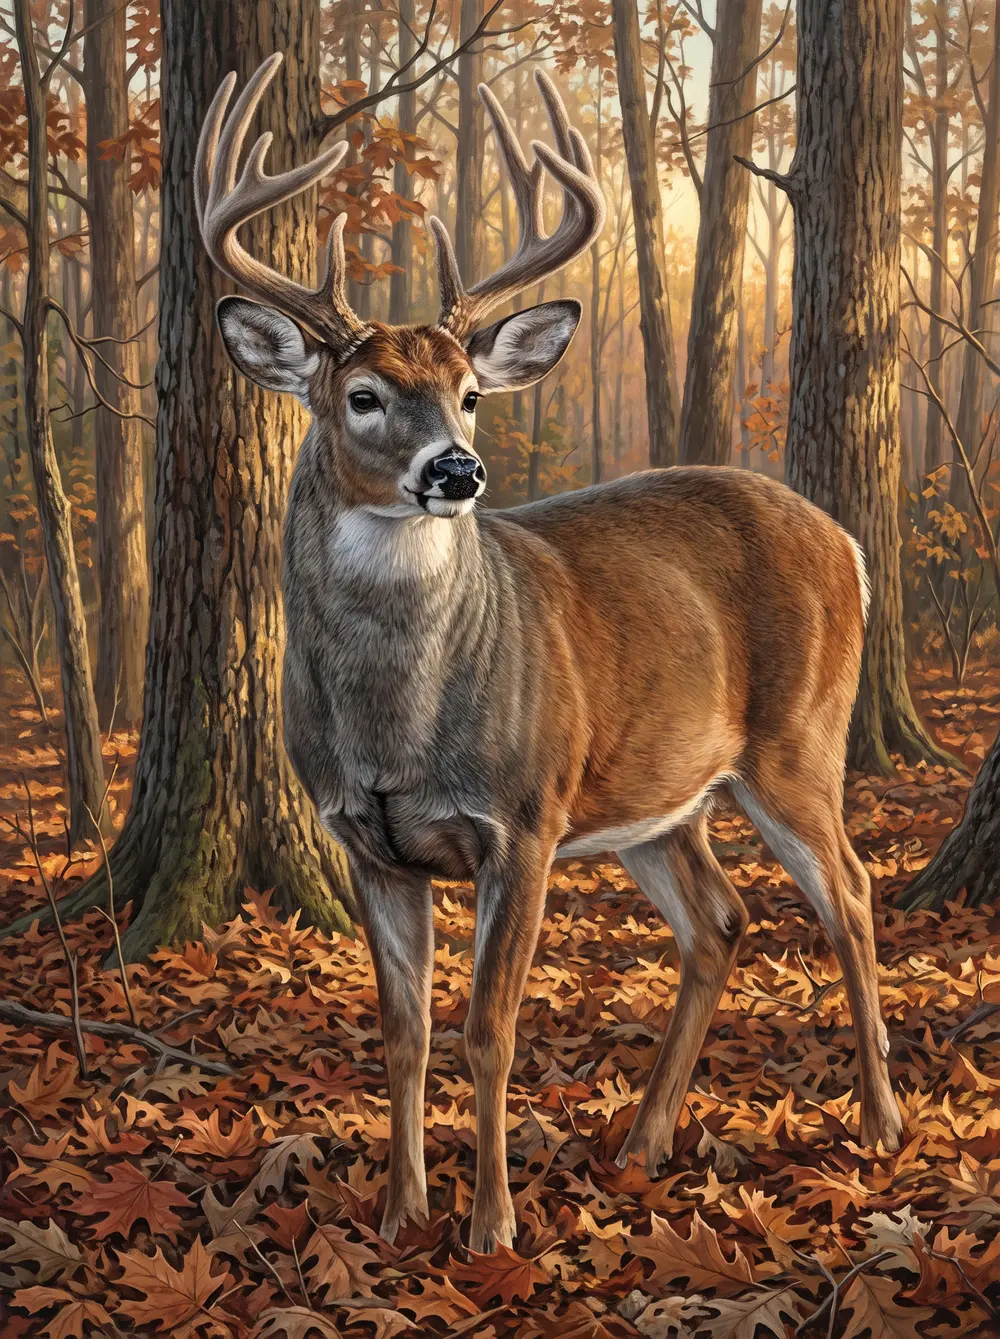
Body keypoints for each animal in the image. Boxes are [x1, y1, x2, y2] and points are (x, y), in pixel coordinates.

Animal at [196, 53, 904, 1254]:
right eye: (362, 395)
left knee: (848, 894)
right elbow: (402, 1032)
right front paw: (399, 1213)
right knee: (720, 919)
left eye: (471, 394)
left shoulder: (520, 822)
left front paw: (491, 1227)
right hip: (655, 799)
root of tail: (850, 543)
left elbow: (490, 1030)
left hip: (796, 743)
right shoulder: (367, 842)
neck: (395, 729)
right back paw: (644, 1139)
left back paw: (879, 1119)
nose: (455, 470)